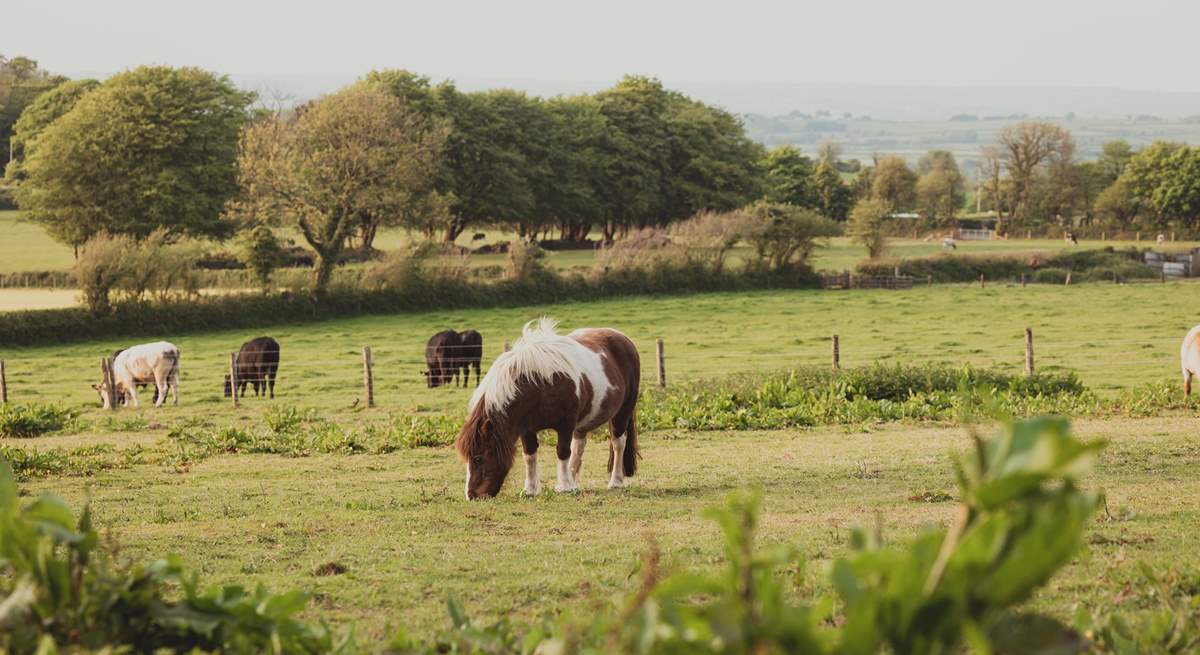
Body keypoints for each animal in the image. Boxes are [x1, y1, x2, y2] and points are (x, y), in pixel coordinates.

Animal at [453, 316, 638, 494]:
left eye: (478, 457)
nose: (472, 495)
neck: (539, 386)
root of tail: (623, 338)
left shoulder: (565, 425)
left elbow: (562, 452)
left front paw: (564, 487)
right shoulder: (526, 429)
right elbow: (530, 455)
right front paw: (531, 489)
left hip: (622, 413)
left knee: (618, 444)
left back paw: (615, 482)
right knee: (579, 447)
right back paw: (574, 482)